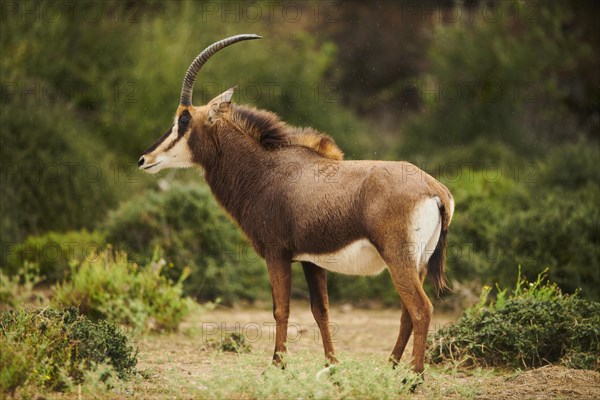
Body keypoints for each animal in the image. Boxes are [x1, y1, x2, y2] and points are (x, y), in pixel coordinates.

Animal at [137, 35, 454, 376]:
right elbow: (320, 310)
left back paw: (414, 376)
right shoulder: (311, 261)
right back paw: (391, 367)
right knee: (408, 312)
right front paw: (331, 365)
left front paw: (276, 365)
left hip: (398, 258)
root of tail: (435, 191)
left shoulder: (276, 253)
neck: (266, 169)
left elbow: (281, 309)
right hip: (418, 263)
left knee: (421, 309)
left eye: (183, 120)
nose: (144, 159)